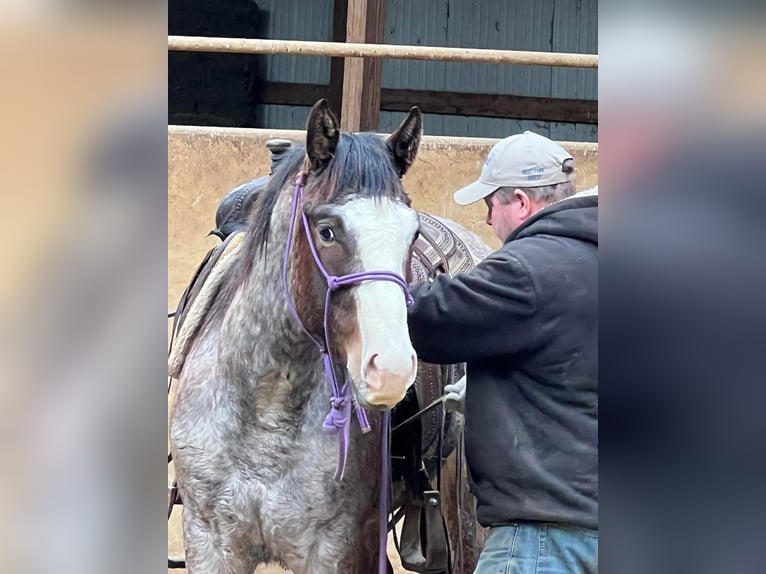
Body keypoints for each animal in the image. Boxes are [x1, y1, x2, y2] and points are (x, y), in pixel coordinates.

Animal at [169, 99, 490, 573]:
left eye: (411, 234)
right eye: (327, 231)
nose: (391, 368)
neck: (267, 407)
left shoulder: (335, 546)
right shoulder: (209, 539)